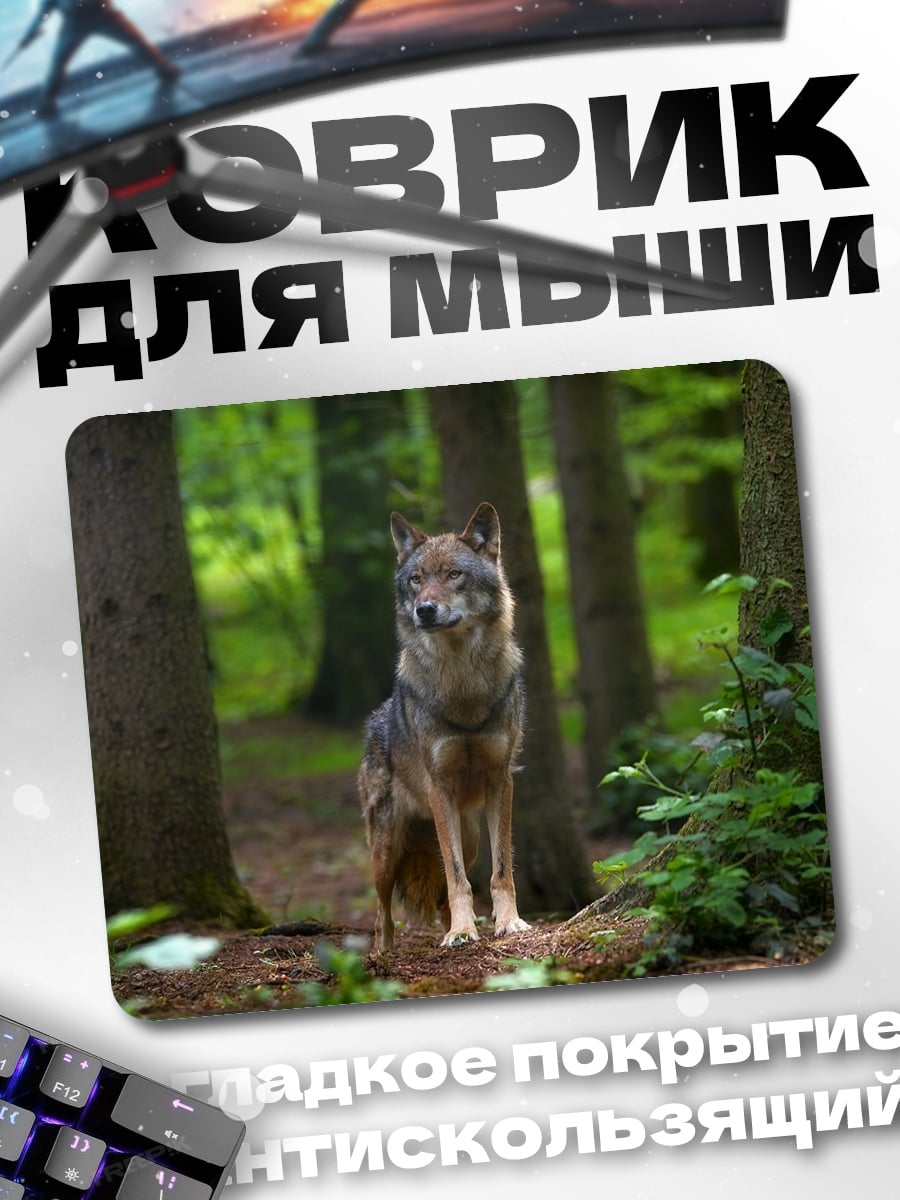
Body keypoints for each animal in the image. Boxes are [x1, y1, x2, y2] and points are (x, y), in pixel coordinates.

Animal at [359, 501, 531, 951]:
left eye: (454, 574)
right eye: (416, 581)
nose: (425, 609)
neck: (461, 686)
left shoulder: (501, 781)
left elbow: (500, 871)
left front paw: (508, 923)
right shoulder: (439, 788)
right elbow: (457, 879)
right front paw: (464, 932)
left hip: (467, 836)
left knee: (440, 896)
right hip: (385, 850)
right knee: (382, 911)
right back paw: (382, 952)